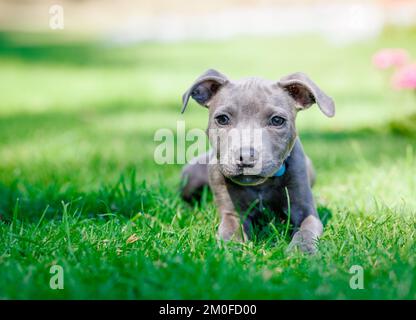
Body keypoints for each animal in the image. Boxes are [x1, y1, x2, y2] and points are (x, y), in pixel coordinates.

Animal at [181, 69, 334, 252]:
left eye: (277, 120)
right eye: (222, 119)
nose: (246, 156)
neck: (261, 185)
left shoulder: (305, 210)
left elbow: (305, 231)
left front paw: (301, 251)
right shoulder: (233, 213)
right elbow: (230, 232)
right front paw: (229, 251)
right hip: (191, 176)